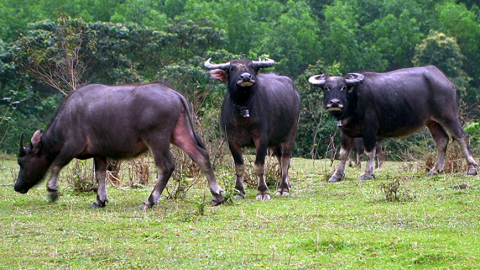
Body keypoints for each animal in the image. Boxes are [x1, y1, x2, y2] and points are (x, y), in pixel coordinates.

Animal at [15, 82, 224, 209]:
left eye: (21, 161)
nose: (17, 186)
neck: (68, 117)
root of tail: (173, 93)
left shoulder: (72, 146)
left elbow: (57, 164)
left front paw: (52, 190)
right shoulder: (99, 153)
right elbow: (100, 174)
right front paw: (100, 200)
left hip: (156, 139)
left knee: (166, 166)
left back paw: (150, 200)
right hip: (179, 133)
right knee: (201, 156)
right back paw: (217, 195)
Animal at [203, 58, 300, 199]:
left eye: (252, 67)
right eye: (232, 68)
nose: (246, 77)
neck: (243, 109)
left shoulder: (261, 138)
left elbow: (259, 167)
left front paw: (263, 191)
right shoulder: (231, 139)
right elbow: (239, 167)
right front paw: (239, 191)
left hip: (290, 134)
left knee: (285, 160)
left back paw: (283, 188)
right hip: (274, 141)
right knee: (280, 159)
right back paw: (287, 183)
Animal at [310, 65, 478, 181]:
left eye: (343, 87)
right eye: (327, 88)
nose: (335, 102)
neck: (353, 102)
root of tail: (446, 81)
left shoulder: (370, 130)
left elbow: (369, 152)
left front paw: (367, 174)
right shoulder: (346, 131)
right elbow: (343, 154)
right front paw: (336, 176)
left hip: (448, 115)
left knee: (461, 136)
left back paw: (472, 168)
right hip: (432, 121)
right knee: (442, 140)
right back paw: (435, 170)